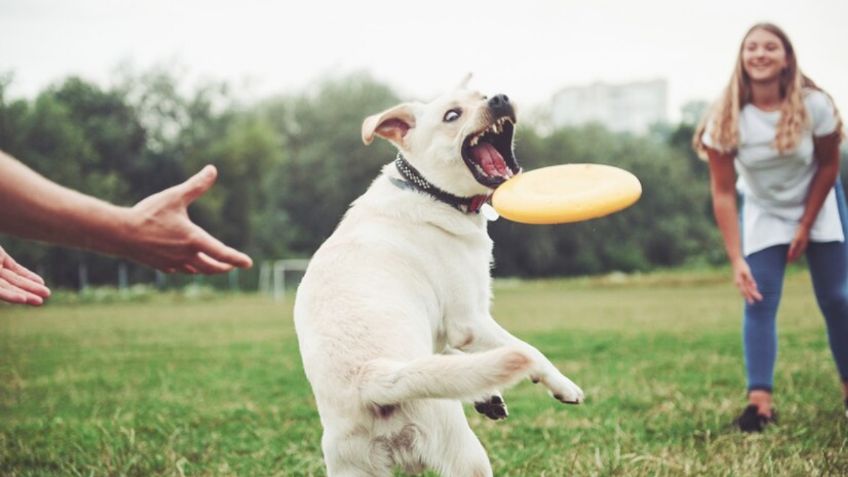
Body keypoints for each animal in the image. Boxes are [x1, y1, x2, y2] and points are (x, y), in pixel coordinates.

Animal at [294, 76, 584, 474]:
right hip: (463, 452)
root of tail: (371, 377)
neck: (430, 190)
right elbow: (529, 350)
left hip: (353, 464)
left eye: (483, 96)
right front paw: (563, 385)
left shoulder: (444, 328)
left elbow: (449, 356)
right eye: (451, 115)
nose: (500, 98)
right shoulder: (469, 321)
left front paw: (486, 394)